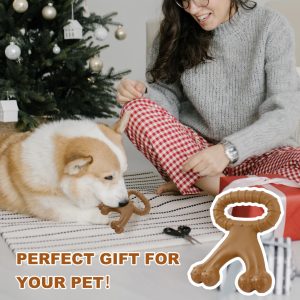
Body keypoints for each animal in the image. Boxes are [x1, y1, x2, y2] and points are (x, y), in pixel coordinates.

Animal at [0, 111, 130, 224]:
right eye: (108, 177)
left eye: (123, 173)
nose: (125, 203)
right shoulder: (48, 206)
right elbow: (76, 211)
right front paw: (103, 216)